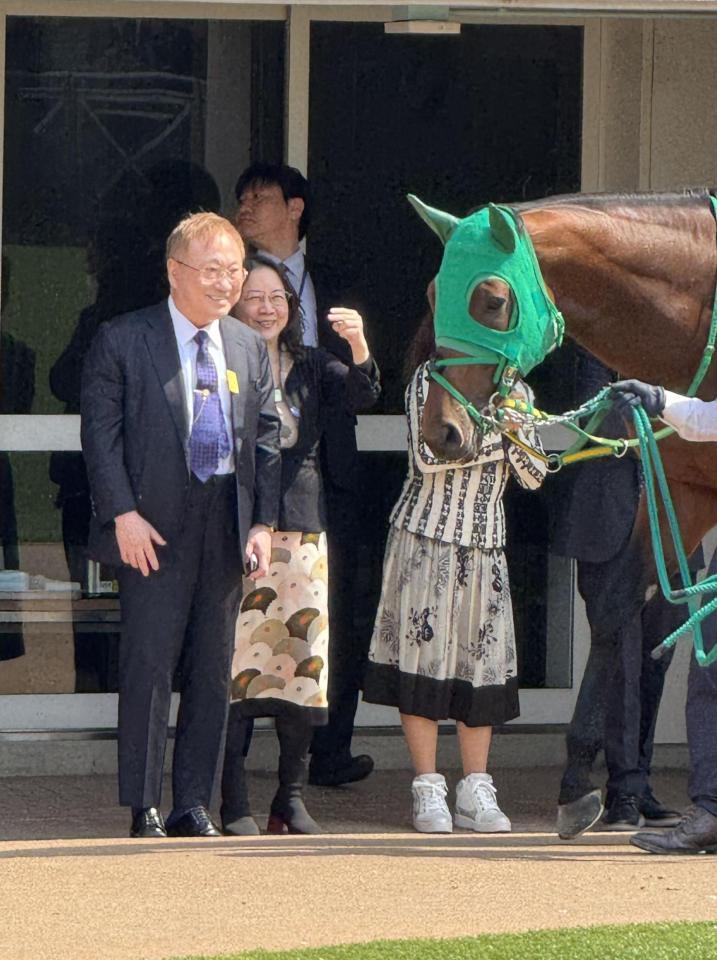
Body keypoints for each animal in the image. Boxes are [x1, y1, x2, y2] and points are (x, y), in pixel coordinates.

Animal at [409, 188, 717, 834]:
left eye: (492, 299)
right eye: (432, 294)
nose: (442, 432)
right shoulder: (687, 488)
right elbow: (617, 606)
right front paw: (577, 783)